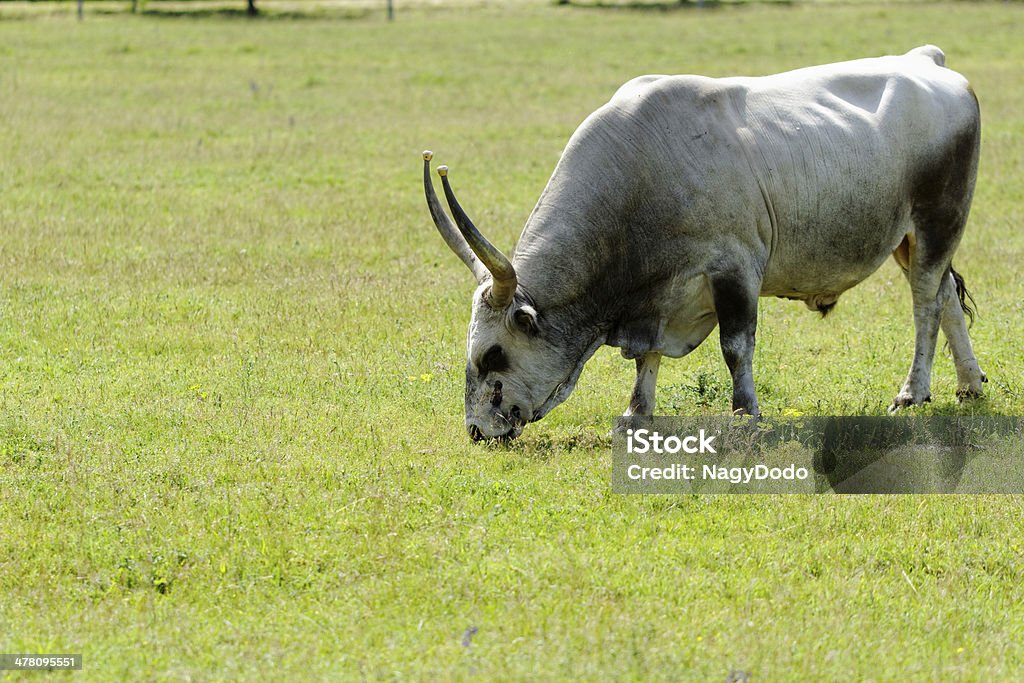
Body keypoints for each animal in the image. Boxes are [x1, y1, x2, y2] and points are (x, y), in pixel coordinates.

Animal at [421, 48, 983, 444]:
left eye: (493, 354)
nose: (477, 431)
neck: (641, 173)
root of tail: (925, 60)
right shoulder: (657, 299)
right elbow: (646, 357)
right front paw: (636, 412)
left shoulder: (734, 269)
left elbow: (736, 347)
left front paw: (744, 412)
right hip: (908, 241)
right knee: (946, 299)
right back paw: (969, 385)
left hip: (937, 222)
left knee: (925, 305)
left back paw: (912, 392)